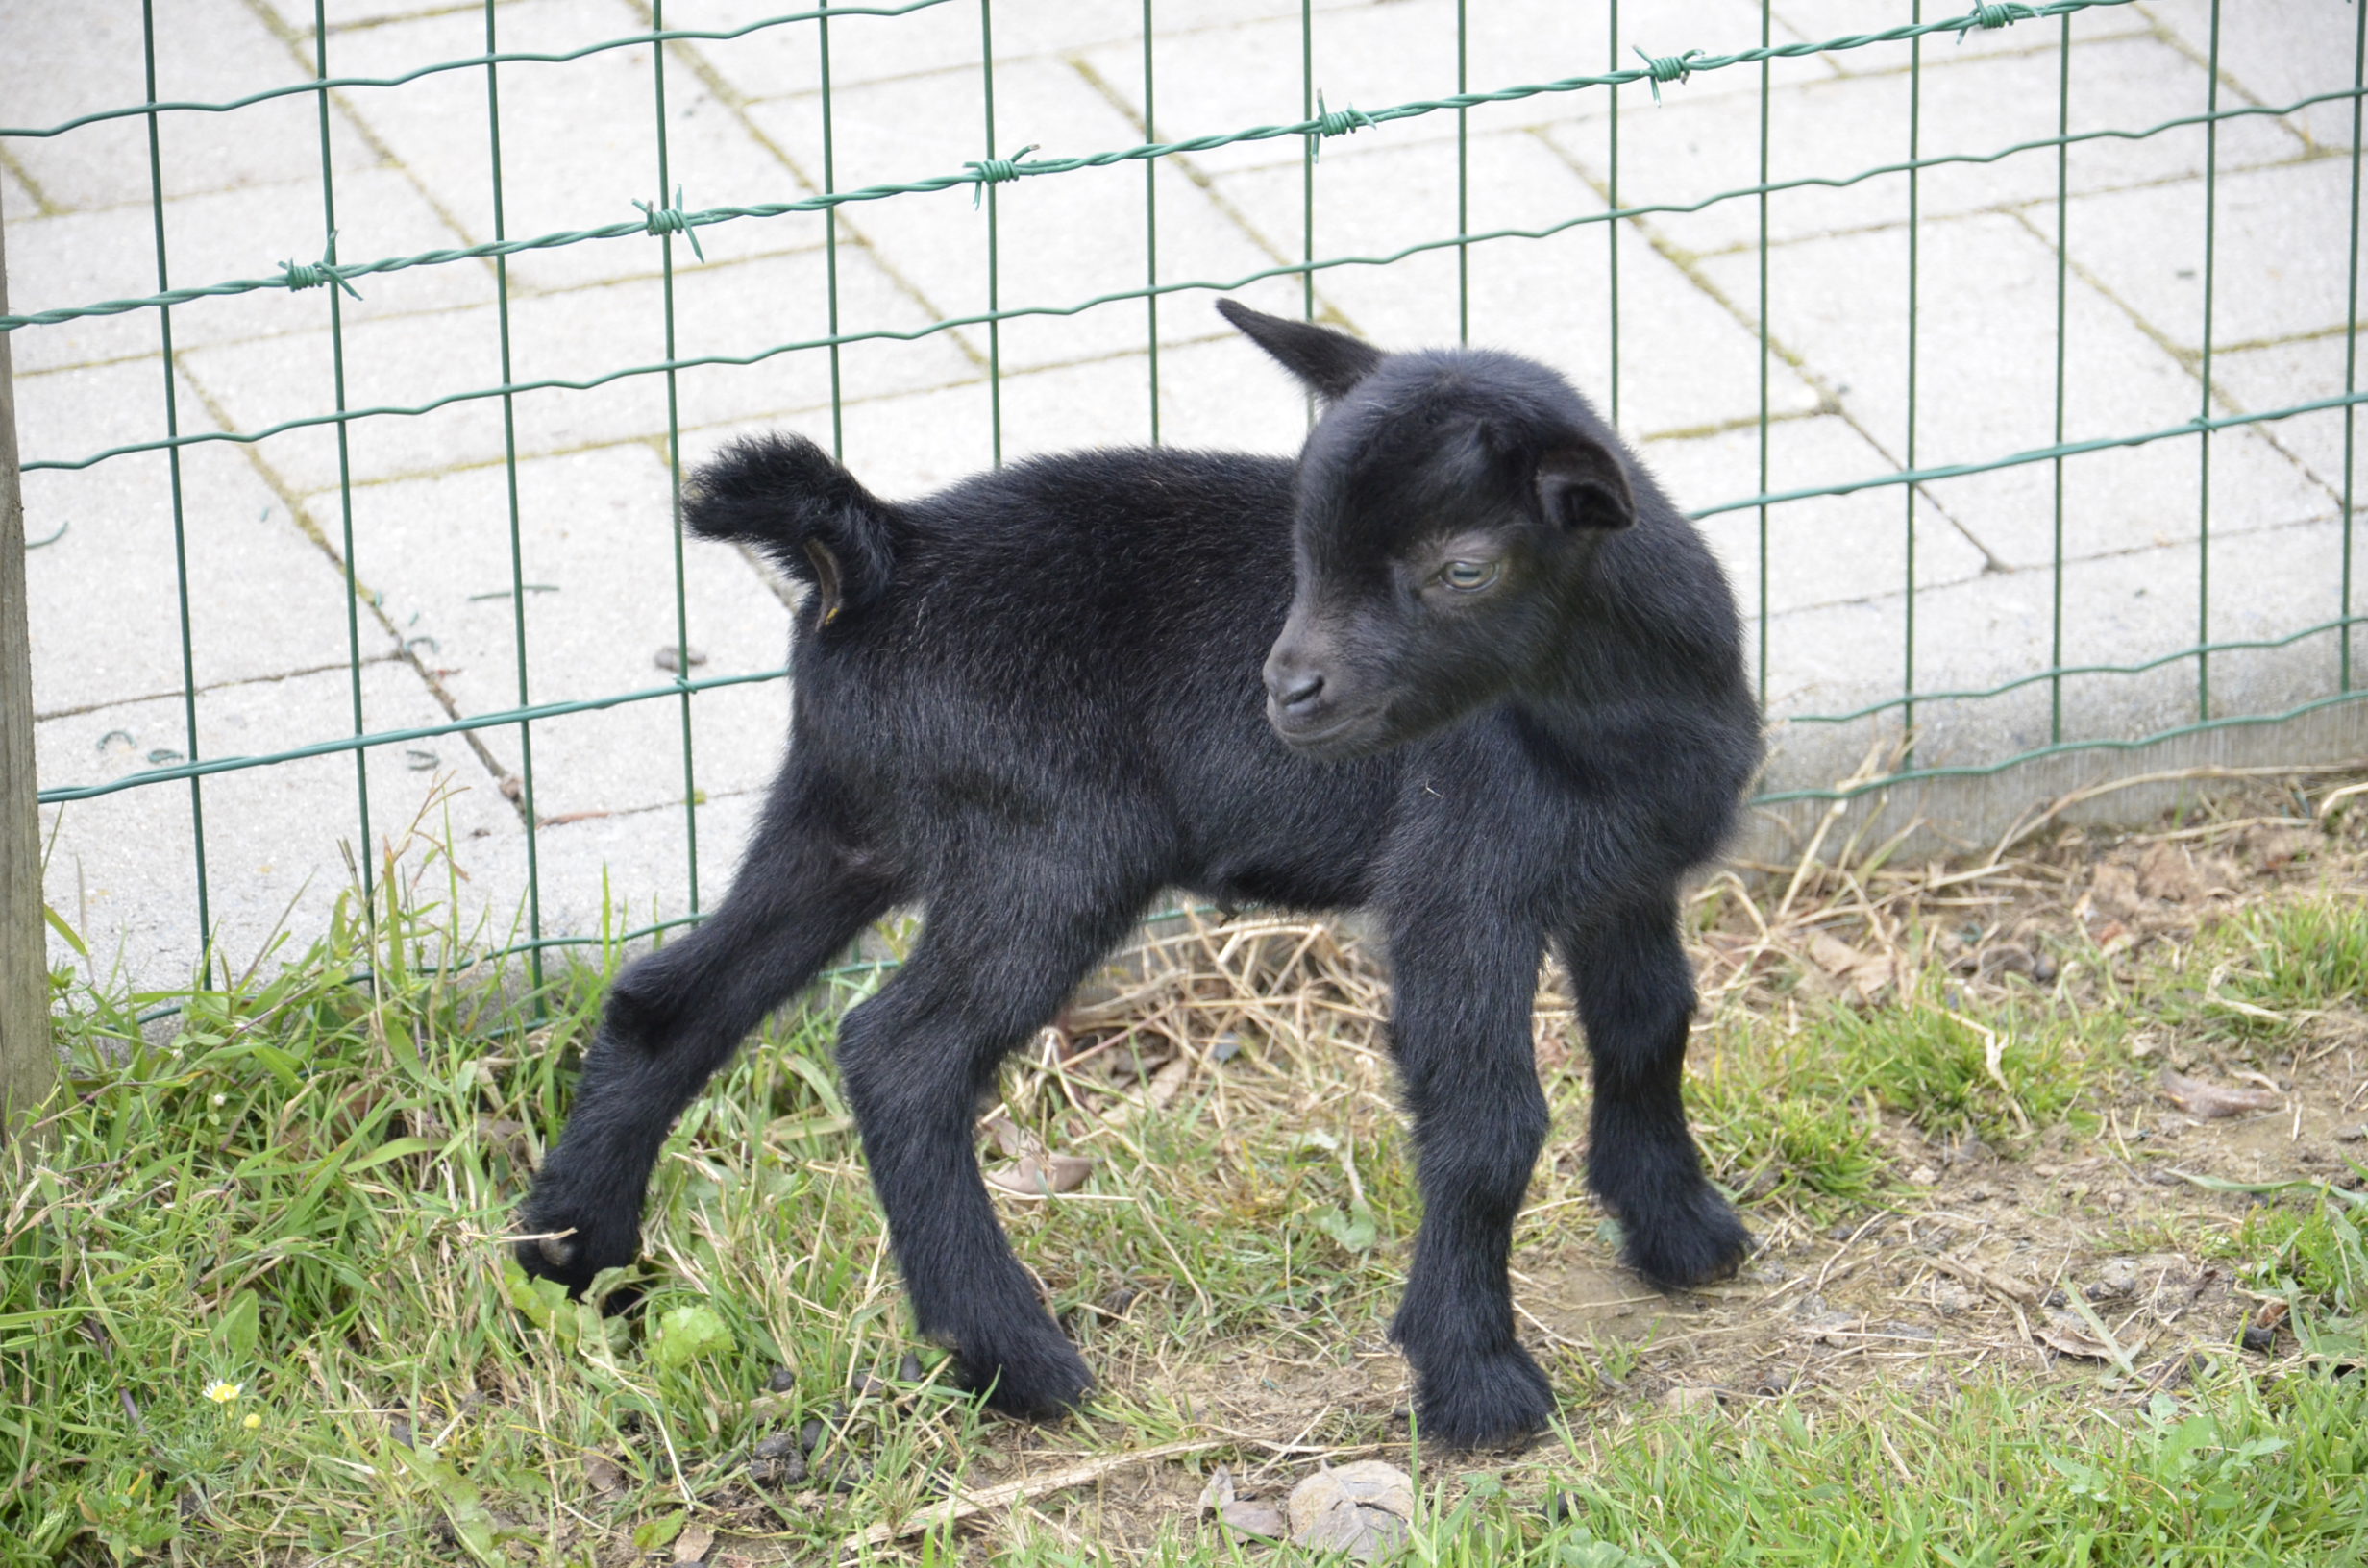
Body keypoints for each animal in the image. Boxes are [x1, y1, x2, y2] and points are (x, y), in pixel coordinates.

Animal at [523, 301, 1780, 1458]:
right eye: (1303, 551)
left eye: (1462, 566)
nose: (1287, 693)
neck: (1609, 713)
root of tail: (881, 553)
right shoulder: (1457, 890)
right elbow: (1486, 1125)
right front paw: (1475, 1383)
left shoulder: (1623, 878)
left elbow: (1650, 1027)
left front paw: (1681, 1233)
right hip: (1046, 851)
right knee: (900, 1055)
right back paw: (1015, 1361)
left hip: (842, 822)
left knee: (669, 1004)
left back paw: (574, 1262)